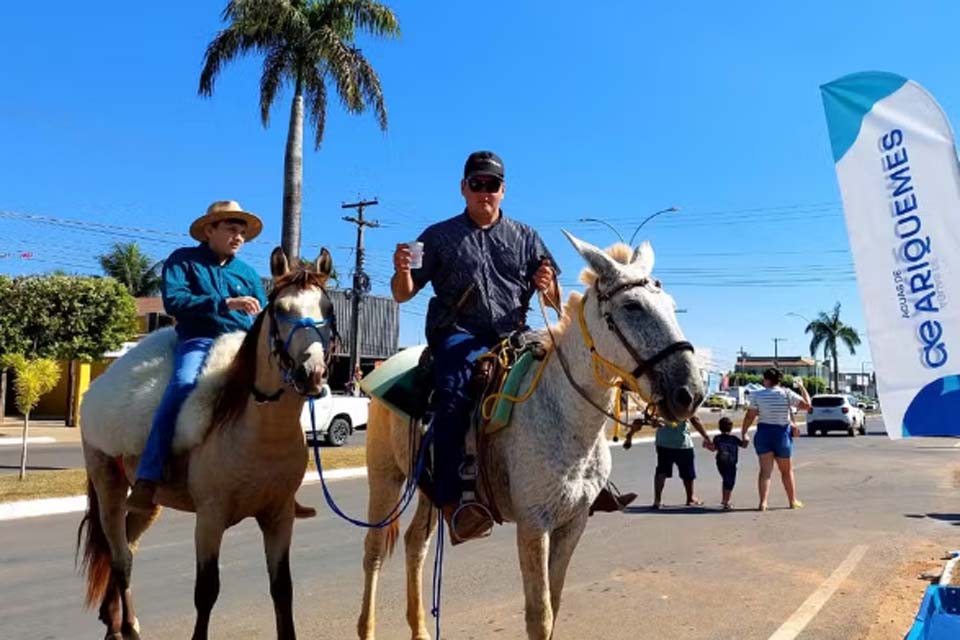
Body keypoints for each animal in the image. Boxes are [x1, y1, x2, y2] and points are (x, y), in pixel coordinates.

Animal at [75, 248, 332, 636]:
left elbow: (282, 588)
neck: (257, 431)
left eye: (328, 310)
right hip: (107, 484)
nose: (312, 375)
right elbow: (207, 590)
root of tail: (95, 391)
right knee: (120, 557)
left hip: (147, 503)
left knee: (128, 545)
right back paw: (128, 627)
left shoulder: (279, 517)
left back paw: (113, 618)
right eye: (280, 309)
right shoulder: (210, 520)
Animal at [356, 232, 700, 636]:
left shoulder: (573, 524)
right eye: (632, 306)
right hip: (385, 477)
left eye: (671, 305)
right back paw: (367, 629)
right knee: (374, 550)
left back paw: (421, 630)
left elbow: (555, 601)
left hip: (431, 489)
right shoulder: (534, 525)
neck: (564, 417)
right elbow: (540, 614)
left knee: (415, 545)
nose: (689, 392)